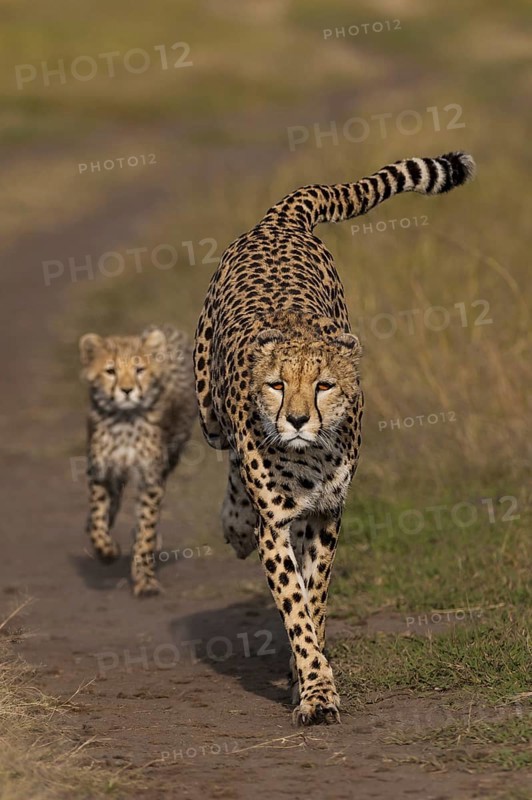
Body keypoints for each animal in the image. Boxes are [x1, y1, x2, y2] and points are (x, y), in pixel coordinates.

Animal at [79, 324, 196, 596]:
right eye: (110, 371)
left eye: (139, 370)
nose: (126, 390)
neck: (124, 420)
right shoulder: (101, 470)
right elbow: (99, 513)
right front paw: (106, 548)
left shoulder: (151, 478)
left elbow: (146, 527)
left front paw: (145, 579)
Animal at [194, 151, 475, 724]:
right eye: (277, 385)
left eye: (323, 385)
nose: (298, 420)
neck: (308, 459)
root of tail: (279, 220)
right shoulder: (276, 525)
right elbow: (296, 608)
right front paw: (317, 690)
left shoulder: (328, 513)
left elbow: (314, 595)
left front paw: (307, 678)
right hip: (208, 409)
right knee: (229, 459)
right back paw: (235, 526)